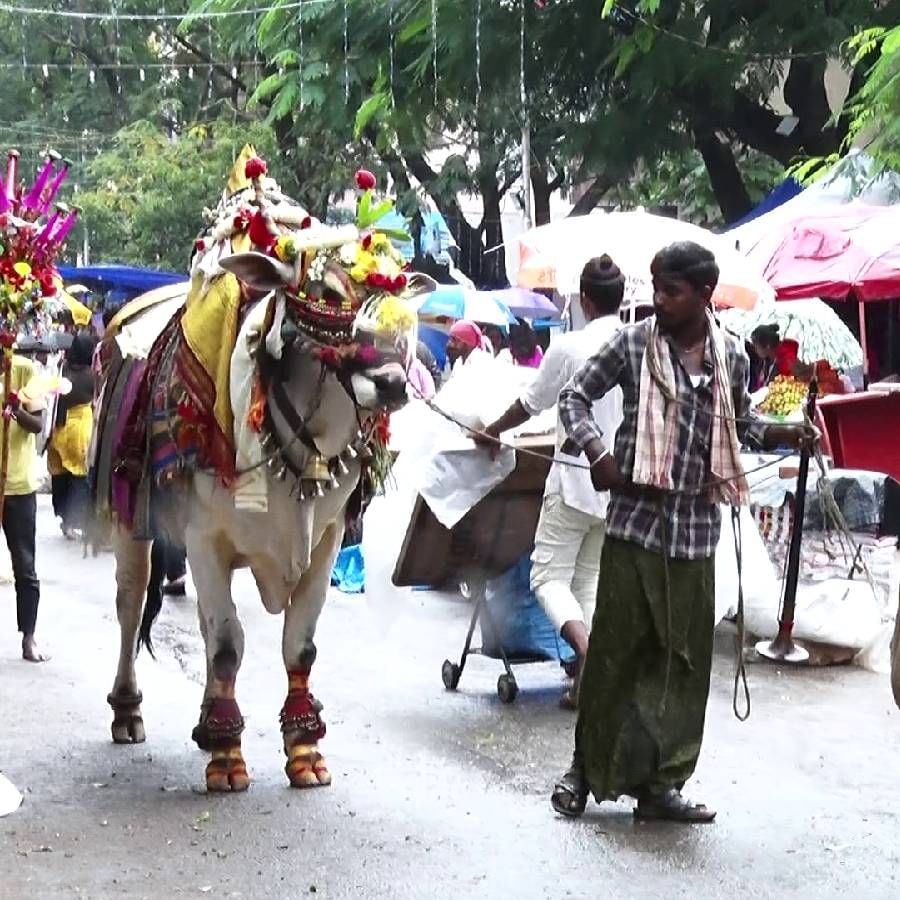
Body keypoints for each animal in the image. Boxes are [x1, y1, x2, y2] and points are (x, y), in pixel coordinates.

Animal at [96, 155, 434, 796]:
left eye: (399, 291)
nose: (393, 384)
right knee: (131, 604)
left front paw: (303, 749)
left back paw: (207, 720)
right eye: (325, 292)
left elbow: (298, 647)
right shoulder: (204, 539)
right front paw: (228, 759)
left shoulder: (326, 539)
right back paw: (128, 709)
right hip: (132, 520)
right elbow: (229, 645)